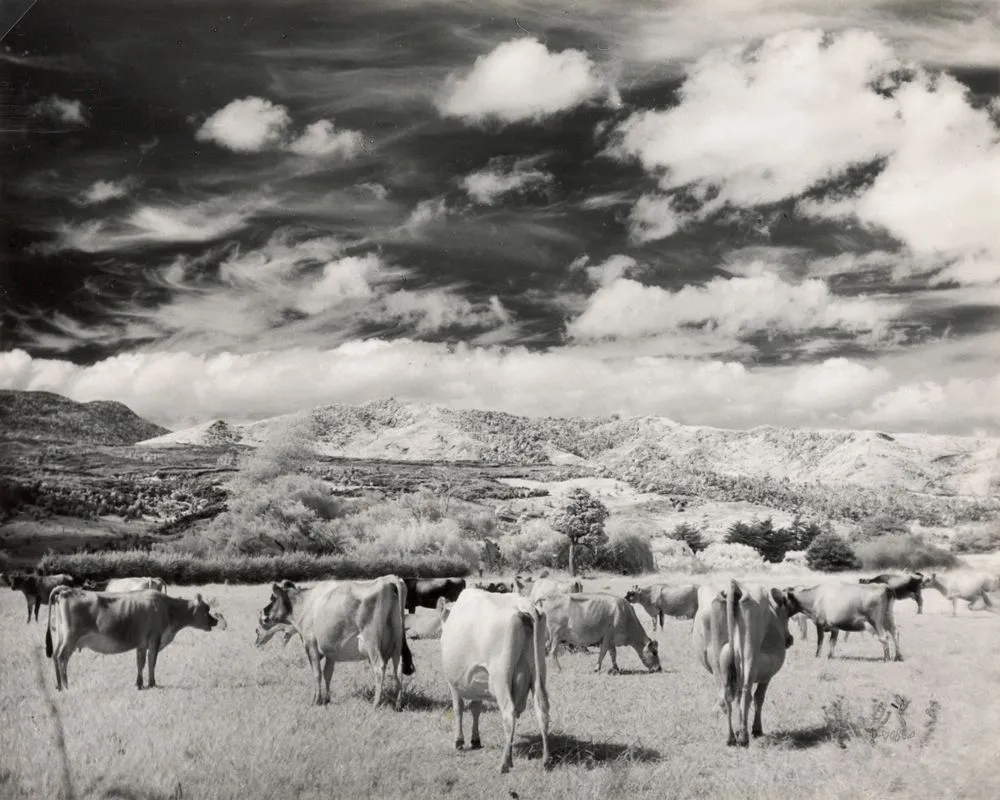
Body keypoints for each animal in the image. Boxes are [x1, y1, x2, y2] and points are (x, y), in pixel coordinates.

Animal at [46, 584, 225, 692]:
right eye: (207, 608)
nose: (215, 621)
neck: (168, 609)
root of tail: (67, 590)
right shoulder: (154, 640)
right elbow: (152, 662)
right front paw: (152, 683)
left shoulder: (142, 644)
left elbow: (140, 663)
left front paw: (139, 684)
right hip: (70, 638)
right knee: (62, 658)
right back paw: (66, 685)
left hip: (61, 637)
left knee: (55, 656)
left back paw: (58, 685)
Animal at [258, 576, 418, 708]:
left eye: (273, 598)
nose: (261, 615)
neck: (306, 604)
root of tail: (388, 580)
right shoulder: (331, 651)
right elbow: (328, 673)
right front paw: (326, 699)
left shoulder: (311, 645)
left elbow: (317, 673)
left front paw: (316, 700)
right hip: (397, 643)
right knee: (398, 669)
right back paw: (398, 704)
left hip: (371, 640)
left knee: (379, 667)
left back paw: (376, 703)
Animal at [442, 584, 552, 772]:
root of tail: (523, 605)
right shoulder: (477, 683)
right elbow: (476, 708)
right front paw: (475, 739)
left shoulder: (453, 683)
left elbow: (459, 708)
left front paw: (459, 741)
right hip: (538, 673)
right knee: (541, 709)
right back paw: (546, 759)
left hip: (501, 677)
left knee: (509, 712)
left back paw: (504, 763)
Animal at [692, 580, 792, 748]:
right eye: (786, 615)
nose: (790, 639)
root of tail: (735, 587)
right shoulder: (767, 676)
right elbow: (758, 698)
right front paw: (756, 729)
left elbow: (737, 700)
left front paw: (739, 729)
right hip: (749, 654)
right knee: (747, 694)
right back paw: (744, 737)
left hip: (719, 660)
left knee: (724, 697)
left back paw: (731, 737)